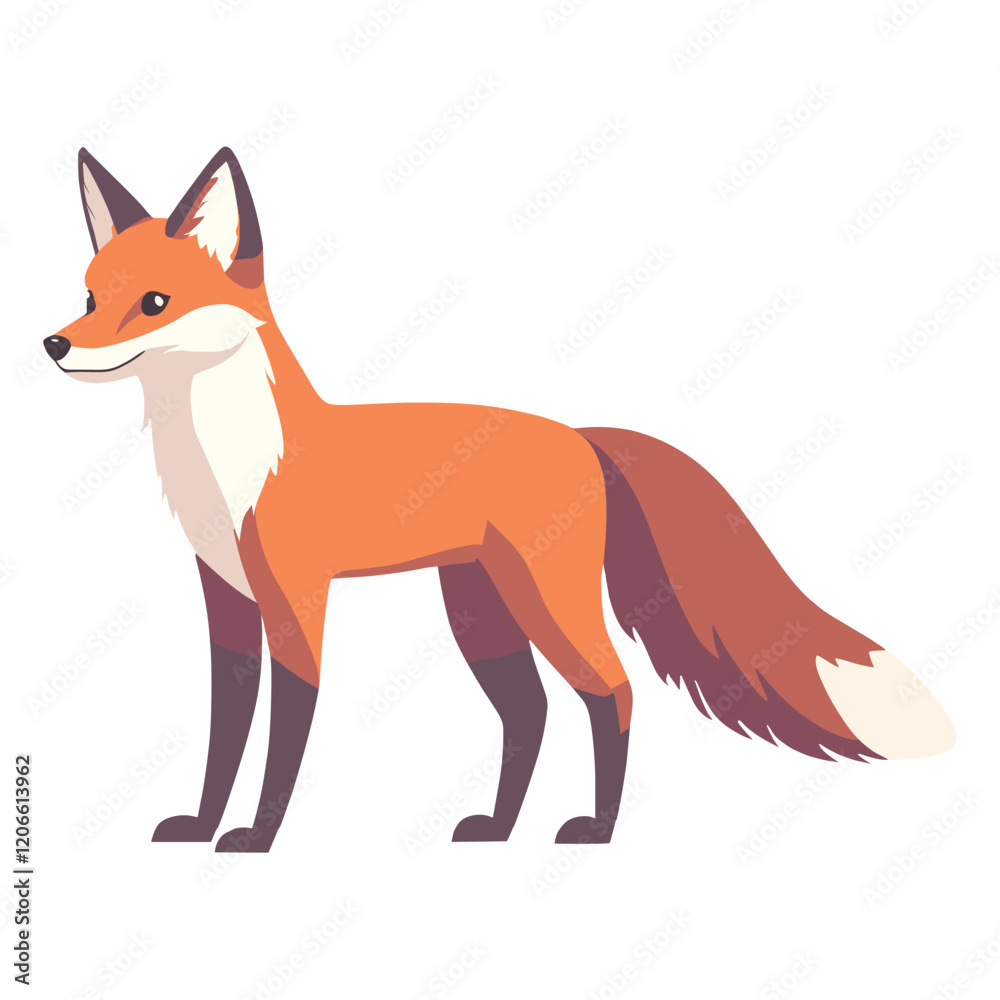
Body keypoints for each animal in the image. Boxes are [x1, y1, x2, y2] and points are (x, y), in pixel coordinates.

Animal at [44, 147, 955, 853]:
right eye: (90, 297)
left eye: (154, 303)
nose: (53, 344)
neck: (229, 459)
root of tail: (579, 433)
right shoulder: (227, 601)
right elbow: (224, 733)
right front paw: (202, 827)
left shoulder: (296, 601)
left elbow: (284, 733)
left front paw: (256, 839)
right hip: (482, 609)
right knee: (532, 713)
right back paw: (500, 828)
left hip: (545, 601)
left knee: (612, 692)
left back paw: (597, 830)